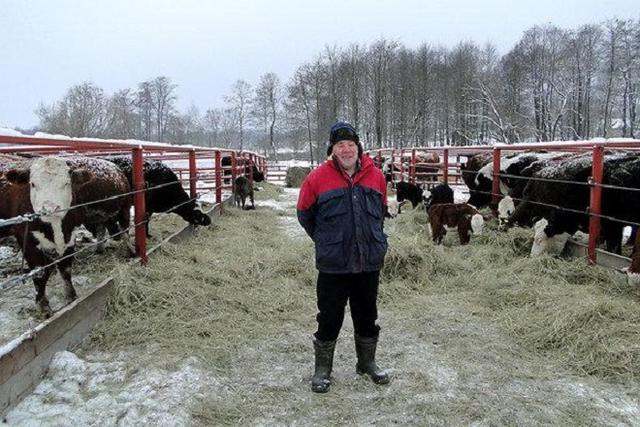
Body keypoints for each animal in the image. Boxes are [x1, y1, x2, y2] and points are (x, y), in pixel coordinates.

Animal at [0, 157, 131, 318]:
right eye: (33, 184)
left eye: (66, 183)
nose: (49, 209)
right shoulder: (28, 241)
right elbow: (41, 275)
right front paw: (45, 308)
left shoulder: (69, 234)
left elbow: (66, 267)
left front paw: (71, 296)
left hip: (123, 208)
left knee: (123, 229)